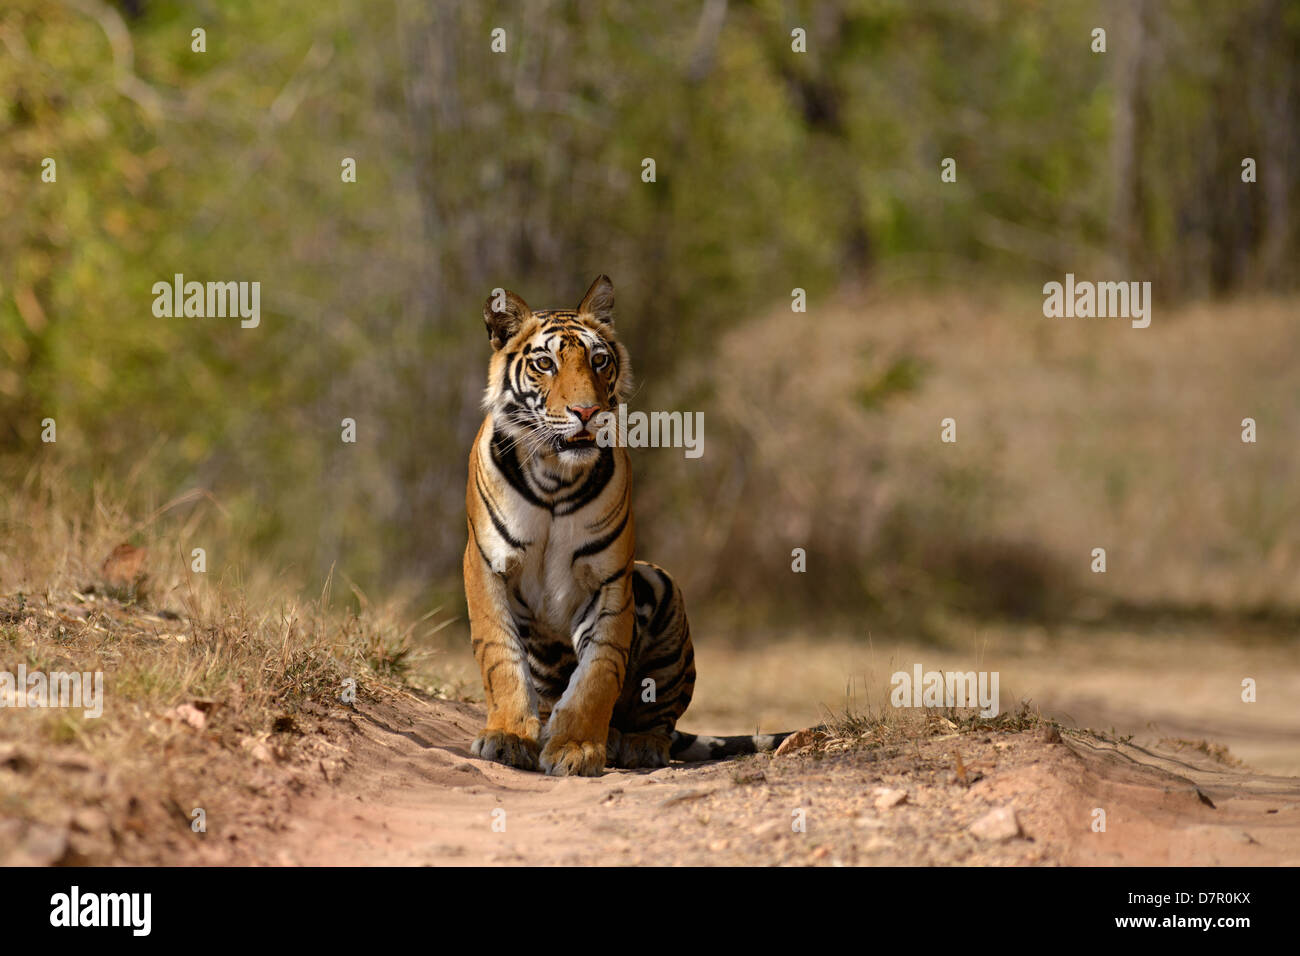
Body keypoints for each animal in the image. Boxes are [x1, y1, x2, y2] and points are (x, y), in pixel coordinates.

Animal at [467, 273, 790, 775]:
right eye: (544, 363)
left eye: (599, 360)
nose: (586, 412)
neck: (554, 478)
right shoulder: (487, 566)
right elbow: (501, 657)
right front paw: (506, 738)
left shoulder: (610, 579)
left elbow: (598, 672)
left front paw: (576, 747)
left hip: (659, 582)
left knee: (660, 719)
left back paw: (634, 743)